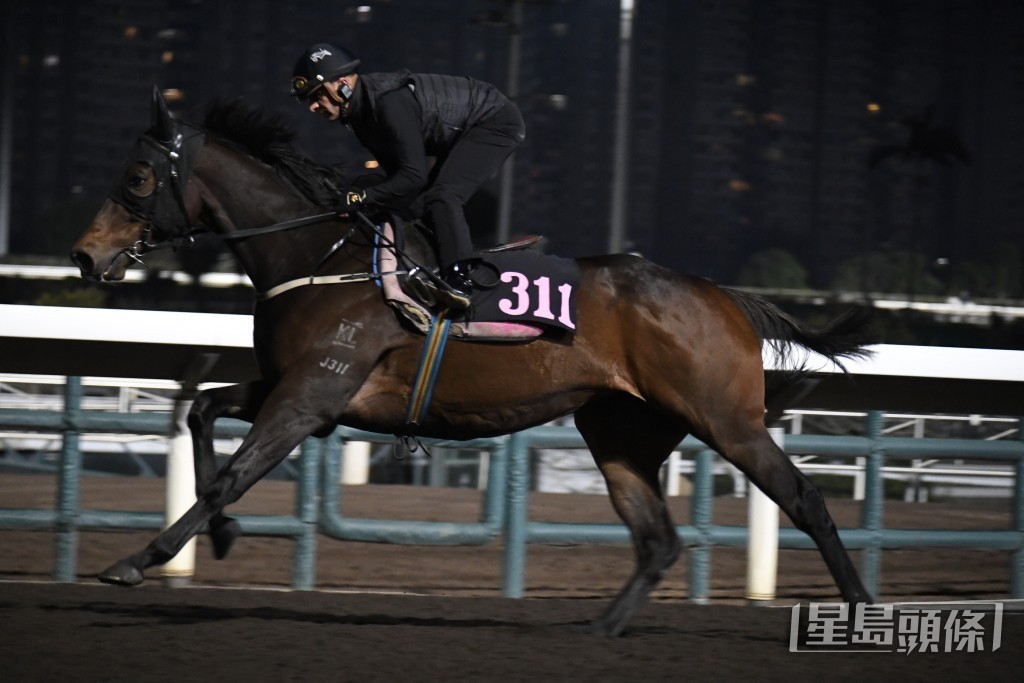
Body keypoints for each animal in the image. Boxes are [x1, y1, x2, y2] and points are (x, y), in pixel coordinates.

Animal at [70, 89, 872, 634]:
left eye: (137, 177)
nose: (85, 255)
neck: (317, 257)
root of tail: (722, 296)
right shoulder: (294, 386)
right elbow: (203, 410)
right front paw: (223, 537)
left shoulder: (310, 397)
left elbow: (234, 473)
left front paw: (137, 560)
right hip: (621, 430)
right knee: (657, 538)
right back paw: (600, 627)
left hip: (724, 417)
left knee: (804, 498)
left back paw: (862, 609)